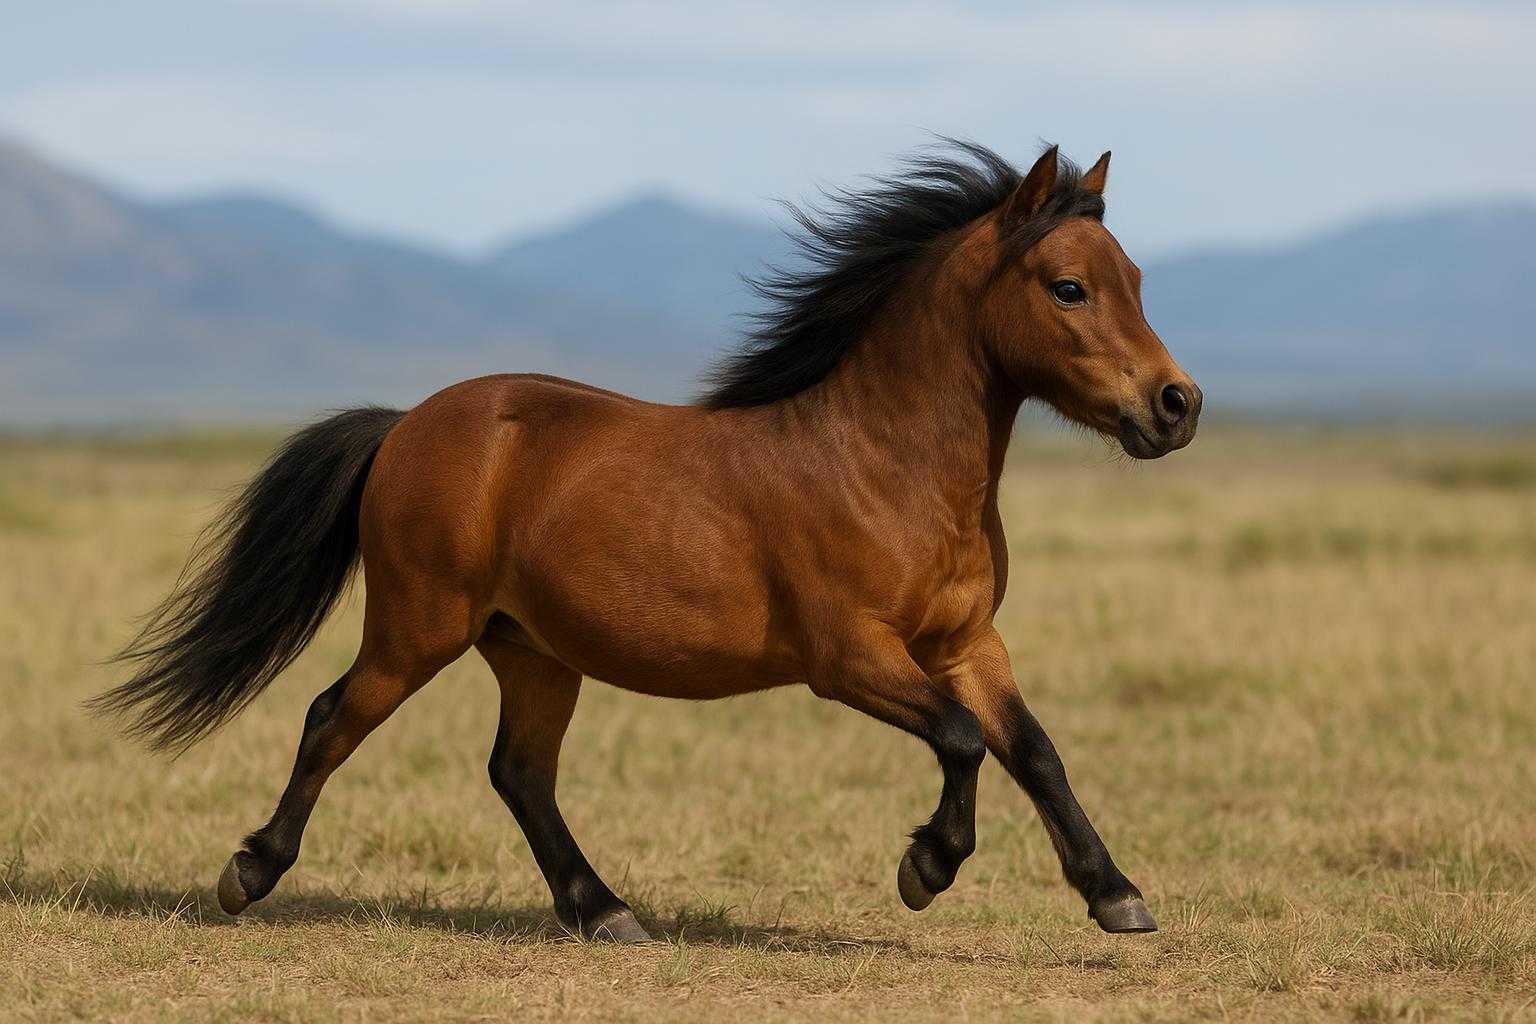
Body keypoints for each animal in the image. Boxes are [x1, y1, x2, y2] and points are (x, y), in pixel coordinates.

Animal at [93, 141, 1201, 943]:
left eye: (1139, 278)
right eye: (1068, 287)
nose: (1176, 405)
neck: (886, 463)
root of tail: (407, 424)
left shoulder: (967, 644)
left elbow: (1035, 749)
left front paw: (1116, 894)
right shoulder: (849, 657)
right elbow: (967, 740)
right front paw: (923, 869)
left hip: (533, 651)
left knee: (518, 772)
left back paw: (605, 910)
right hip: (419, 627)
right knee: (334, 718)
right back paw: (248, 872)